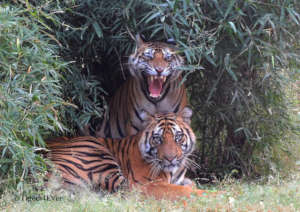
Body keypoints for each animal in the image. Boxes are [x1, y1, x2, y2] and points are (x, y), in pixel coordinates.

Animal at [45, 107, 205, 200]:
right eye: (157, 139)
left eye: (178, 137)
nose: (170, 158)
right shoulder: (147, 184)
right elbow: (184, 191)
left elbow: (189, 183)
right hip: (93, 149)